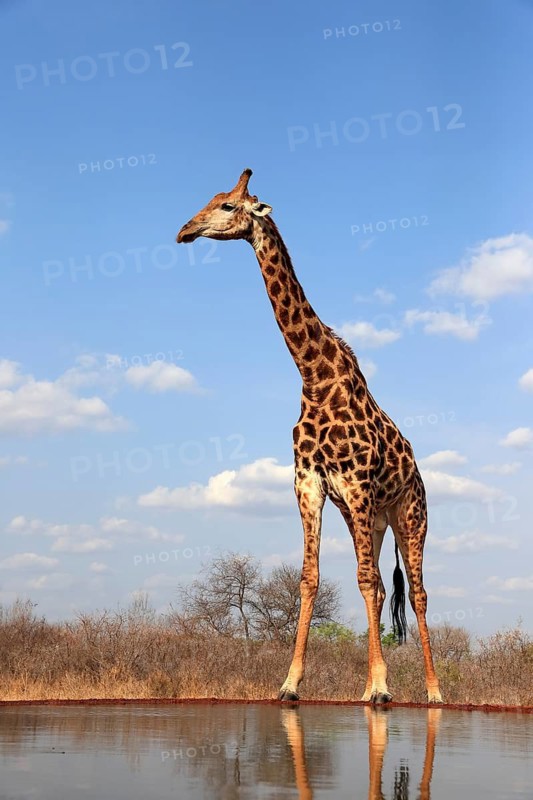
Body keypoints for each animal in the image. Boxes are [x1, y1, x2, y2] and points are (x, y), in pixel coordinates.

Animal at [177, 168, 442, 704]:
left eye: (230, 206)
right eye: (212, 199)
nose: (184, 231)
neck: (314, 377)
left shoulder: (356, 484)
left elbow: (364, 580)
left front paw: (380, 689)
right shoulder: (309, 484)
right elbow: (310, 579)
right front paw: (291, 683)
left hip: (410, 516)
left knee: (418, 593)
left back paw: (432, 691)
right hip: (374, 519)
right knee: (382, 585)